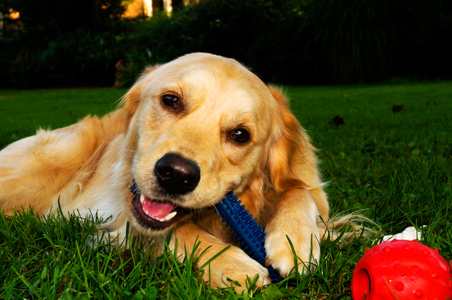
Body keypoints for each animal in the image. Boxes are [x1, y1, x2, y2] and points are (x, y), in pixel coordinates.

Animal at [0, 52, 354, 292]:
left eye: (240, 135)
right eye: (171, 100)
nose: (176, 174)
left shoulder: (313, 192)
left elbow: (299, 190)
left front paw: (294, 241)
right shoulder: (120, 217)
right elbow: (175, 231)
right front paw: (231, 263)